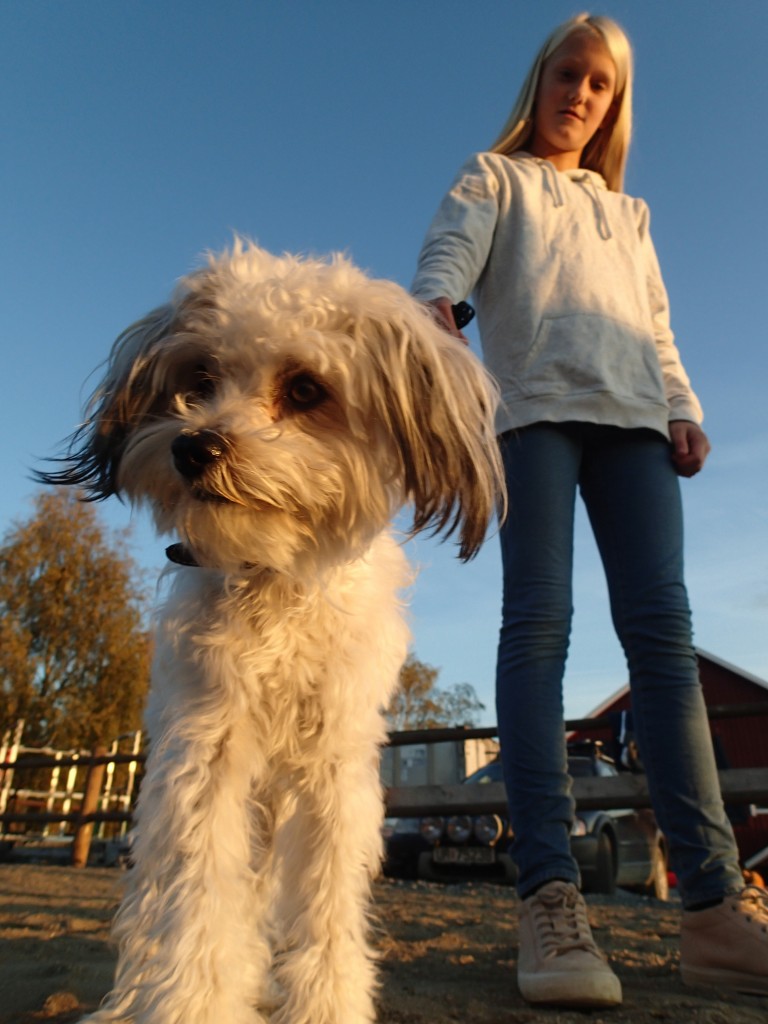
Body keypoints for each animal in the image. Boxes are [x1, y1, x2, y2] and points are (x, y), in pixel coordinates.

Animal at [40, 243, 505, 1024]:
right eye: (199, 379)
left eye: (306, 388)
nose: (195, 446)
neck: (275, 582)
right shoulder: (208, 756)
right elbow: (198, 904)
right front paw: (192, 1005)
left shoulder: (333, 776)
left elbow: (325, 910)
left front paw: (326, 1005)